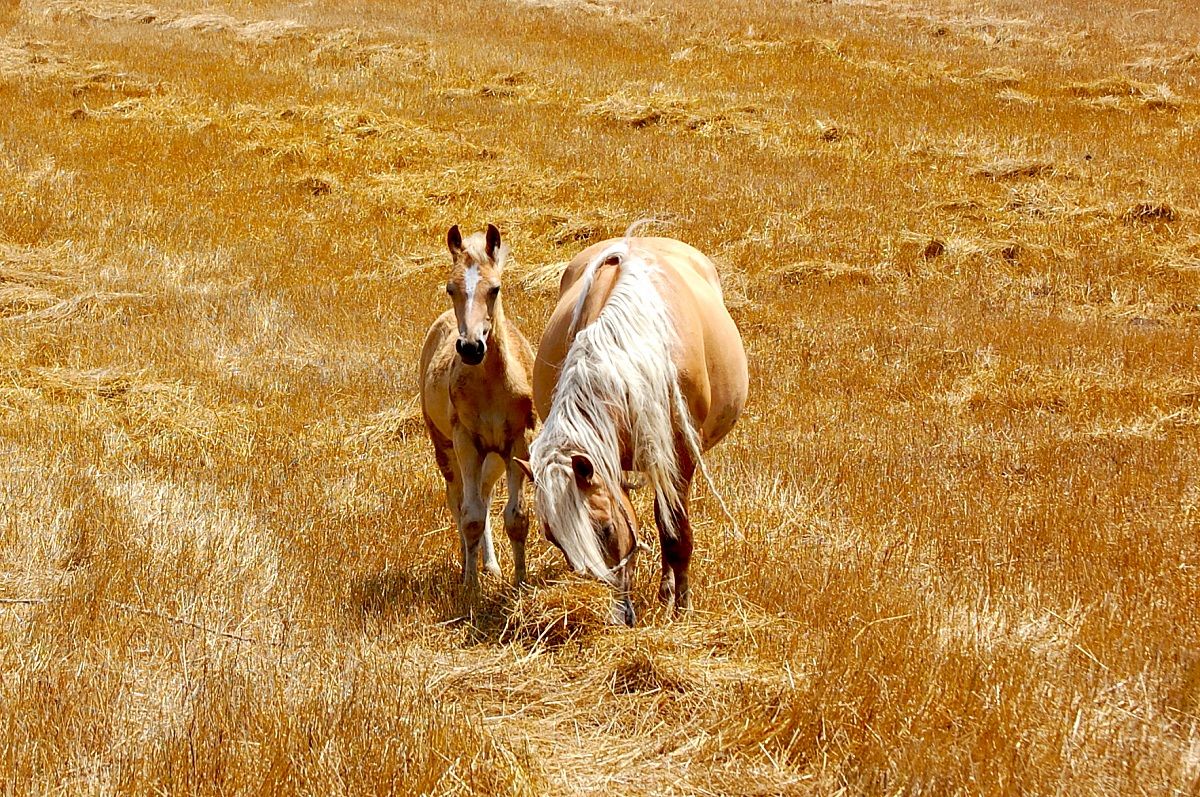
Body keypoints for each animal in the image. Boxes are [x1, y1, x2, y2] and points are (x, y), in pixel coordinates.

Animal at [419, 223, 537, 597]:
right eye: (450, 288)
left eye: (495, 289)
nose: (471, 347)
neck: (491, 386)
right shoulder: (466, 442)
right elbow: (469, 516)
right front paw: (470, 588)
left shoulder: (518, 442)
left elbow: (516, 517)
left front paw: (520, 583)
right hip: (446, 449)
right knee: (459, 500)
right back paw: (466, 565)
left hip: (493, 459)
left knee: (484, 497)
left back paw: (491, 566)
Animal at [518, 232, 748, 625]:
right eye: (553, 539)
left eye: (606, 529)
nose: (614, 616)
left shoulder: (679, 458)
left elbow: (675, 533)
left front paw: (680, 609)